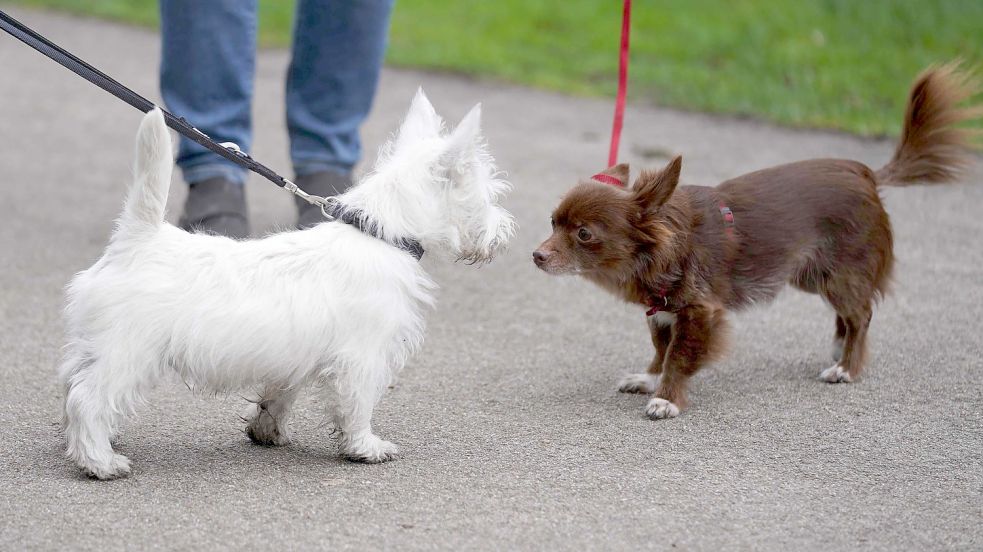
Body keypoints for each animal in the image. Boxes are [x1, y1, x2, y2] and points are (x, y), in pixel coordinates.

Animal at [57, 91, 516, 478]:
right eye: (490, 193)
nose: (505, 232)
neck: (379, 232)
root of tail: (138, 238)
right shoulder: (363, 356)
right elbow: (358, 404)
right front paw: (366, 447)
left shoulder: (295, 358)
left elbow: (279, 395)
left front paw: (266, 431)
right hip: (127, 352)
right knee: (88, 399)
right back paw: (100, 461)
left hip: (97, 346)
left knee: (72, 387)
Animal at [536, 63, 980, 418]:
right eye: (553, 222)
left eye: (583, 234)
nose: (536, 256)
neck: (668, 246)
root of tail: (867, 173)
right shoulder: (662, 311)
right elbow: (661, 349)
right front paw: (649, 379)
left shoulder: (699, 312)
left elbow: (678, 357)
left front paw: (667, 398)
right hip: (812, 274)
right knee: (851, 312)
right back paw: (838, 348)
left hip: (839, 273)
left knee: (862, 314)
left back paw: (847, 368)